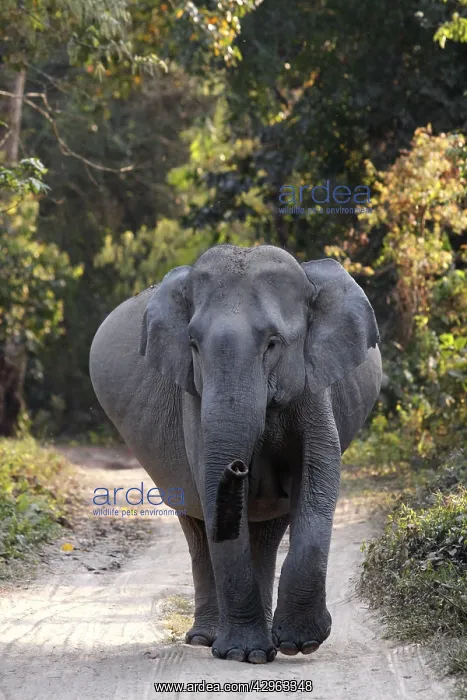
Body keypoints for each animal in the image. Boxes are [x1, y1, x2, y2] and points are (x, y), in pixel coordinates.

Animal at [89, 244, 382, 665]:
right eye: (193, 345)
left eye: (273, 343)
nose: (243, 466)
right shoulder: (193, 397)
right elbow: (210, 488)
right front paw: (247, 654)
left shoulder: (313, 382)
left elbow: (319, 475)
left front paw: (300, 644)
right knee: (197, 526)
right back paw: (205, 639)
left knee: (269, 529)